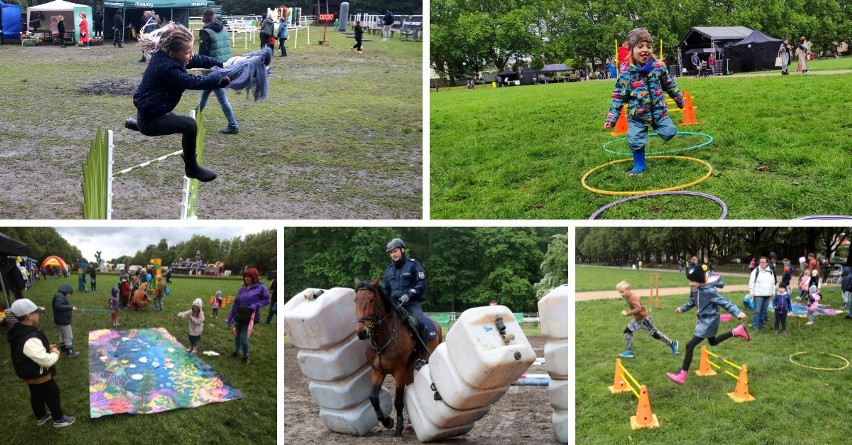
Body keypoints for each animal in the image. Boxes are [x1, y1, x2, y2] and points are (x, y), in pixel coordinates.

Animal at [354, 276, 442, 436]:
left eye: (371, 299)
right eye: (355, 299)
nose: (362, 332)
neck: (384, 339)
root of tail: (436, 325)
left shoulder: (399, 372)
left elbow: (399, 401)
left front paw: (398, 428)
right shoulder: (378, 371)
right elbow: (373, 398)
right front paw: (387, 422)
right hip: (409, 369)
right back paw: (411, 425)